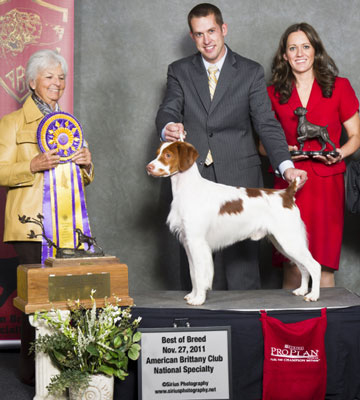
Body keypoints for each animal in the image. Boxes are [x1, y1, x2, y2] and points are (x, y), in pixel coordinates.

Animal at [146, 141, 320, 306]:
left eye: (168, 155)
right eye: (157, 153)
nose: (148, 167)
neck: (188, 189)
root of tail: (287, 194)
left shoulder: (197, 243)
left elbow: (201, 275)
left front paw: (199, 299)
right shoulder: (189, 243)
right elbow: (193, 274)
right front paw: (193, 295)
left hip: (289, 240)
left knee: (314, 266)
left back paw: (313, 295)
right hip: (283, 242)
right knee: (303, 267)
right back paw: (302, 290)